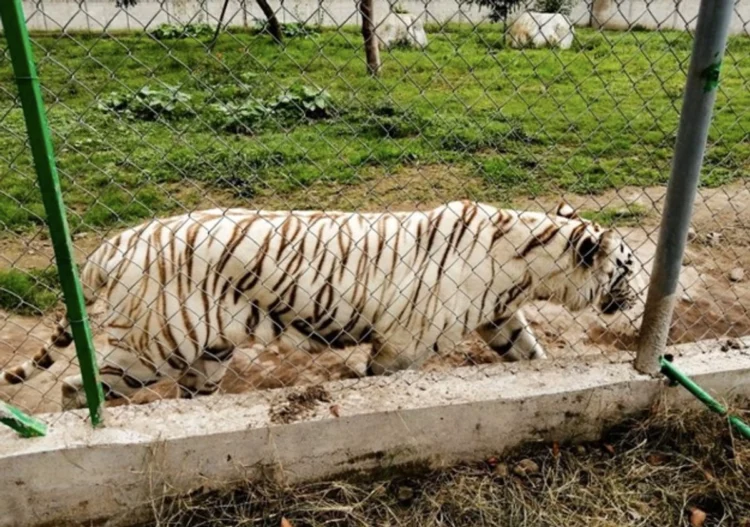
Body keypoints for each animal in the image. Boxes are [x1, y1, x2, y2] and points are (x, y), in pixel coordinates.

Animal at [0, 201, 637, 410]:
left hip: (208, 352)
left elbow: (530, 356)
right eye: (629, 267)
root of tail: (113, 243)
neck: (528, 266)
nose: (636, 297)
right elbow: (382, 381)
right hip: (157, 343)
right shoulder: (402, 345)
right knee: (76, 388)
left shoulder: (500, 316)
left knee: (186, 396)